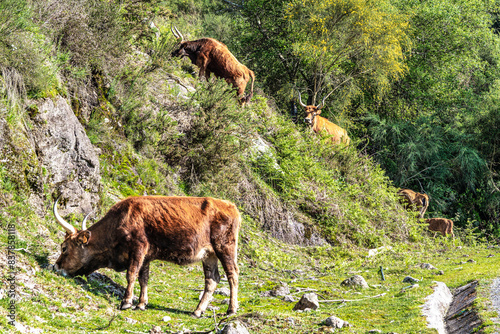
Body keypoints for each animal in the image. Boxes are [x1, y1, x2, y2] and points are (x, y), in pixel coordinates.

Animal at [53, 194, 241, 318]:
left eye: (64, 248)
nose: (56, 266)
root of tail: (229, 205)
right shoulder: (147, 256)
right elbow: (144, 278)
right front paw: (141, 304)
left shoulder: (138, 248)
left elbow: (131, 275)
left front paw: (127, 302)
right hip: (209, 255)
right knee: (212, 279)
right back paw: (197, 311)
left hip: (225, 247)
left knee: (232, 275)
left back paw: (231, 309)